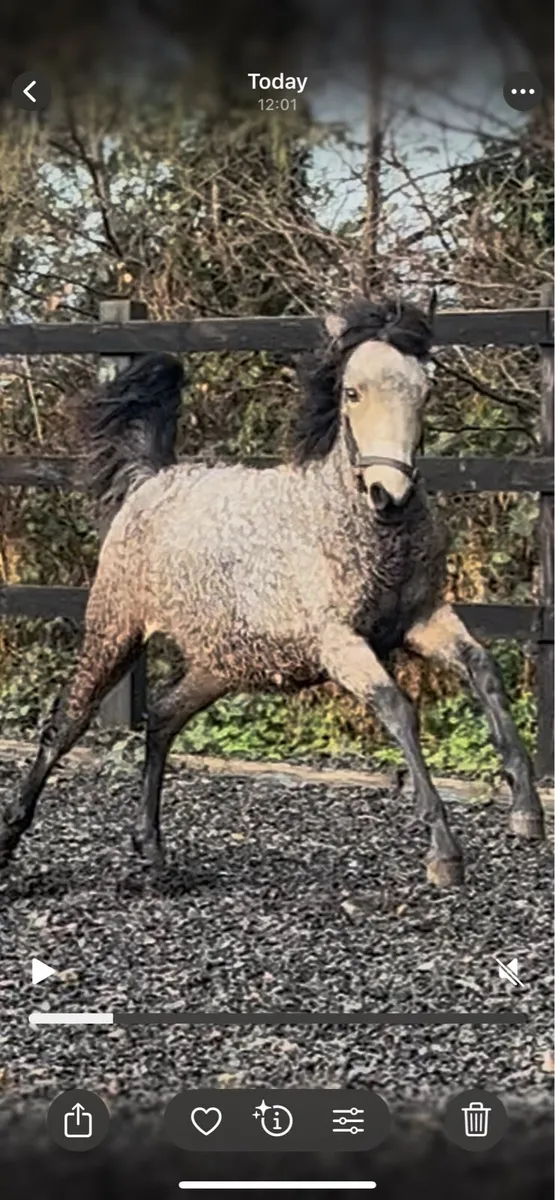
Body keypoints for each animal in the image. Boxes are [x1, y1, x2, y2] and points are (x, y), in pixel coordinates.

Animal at [0, 295, 545, 885]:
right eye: (352, 392)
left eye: (425, 390)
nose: (390, 495)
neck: (356, 525)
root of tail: (151, 480)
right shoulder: (339, 642)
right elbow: (398, 709)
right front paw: (444, 852)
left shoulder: (422, 618)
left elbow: (483, 670)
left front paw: (526, 812)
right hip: (115, 629)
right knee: (66, 721)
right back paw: (11, 837)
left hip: (223, 661)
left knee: (164, 716)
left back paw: (150, 845)